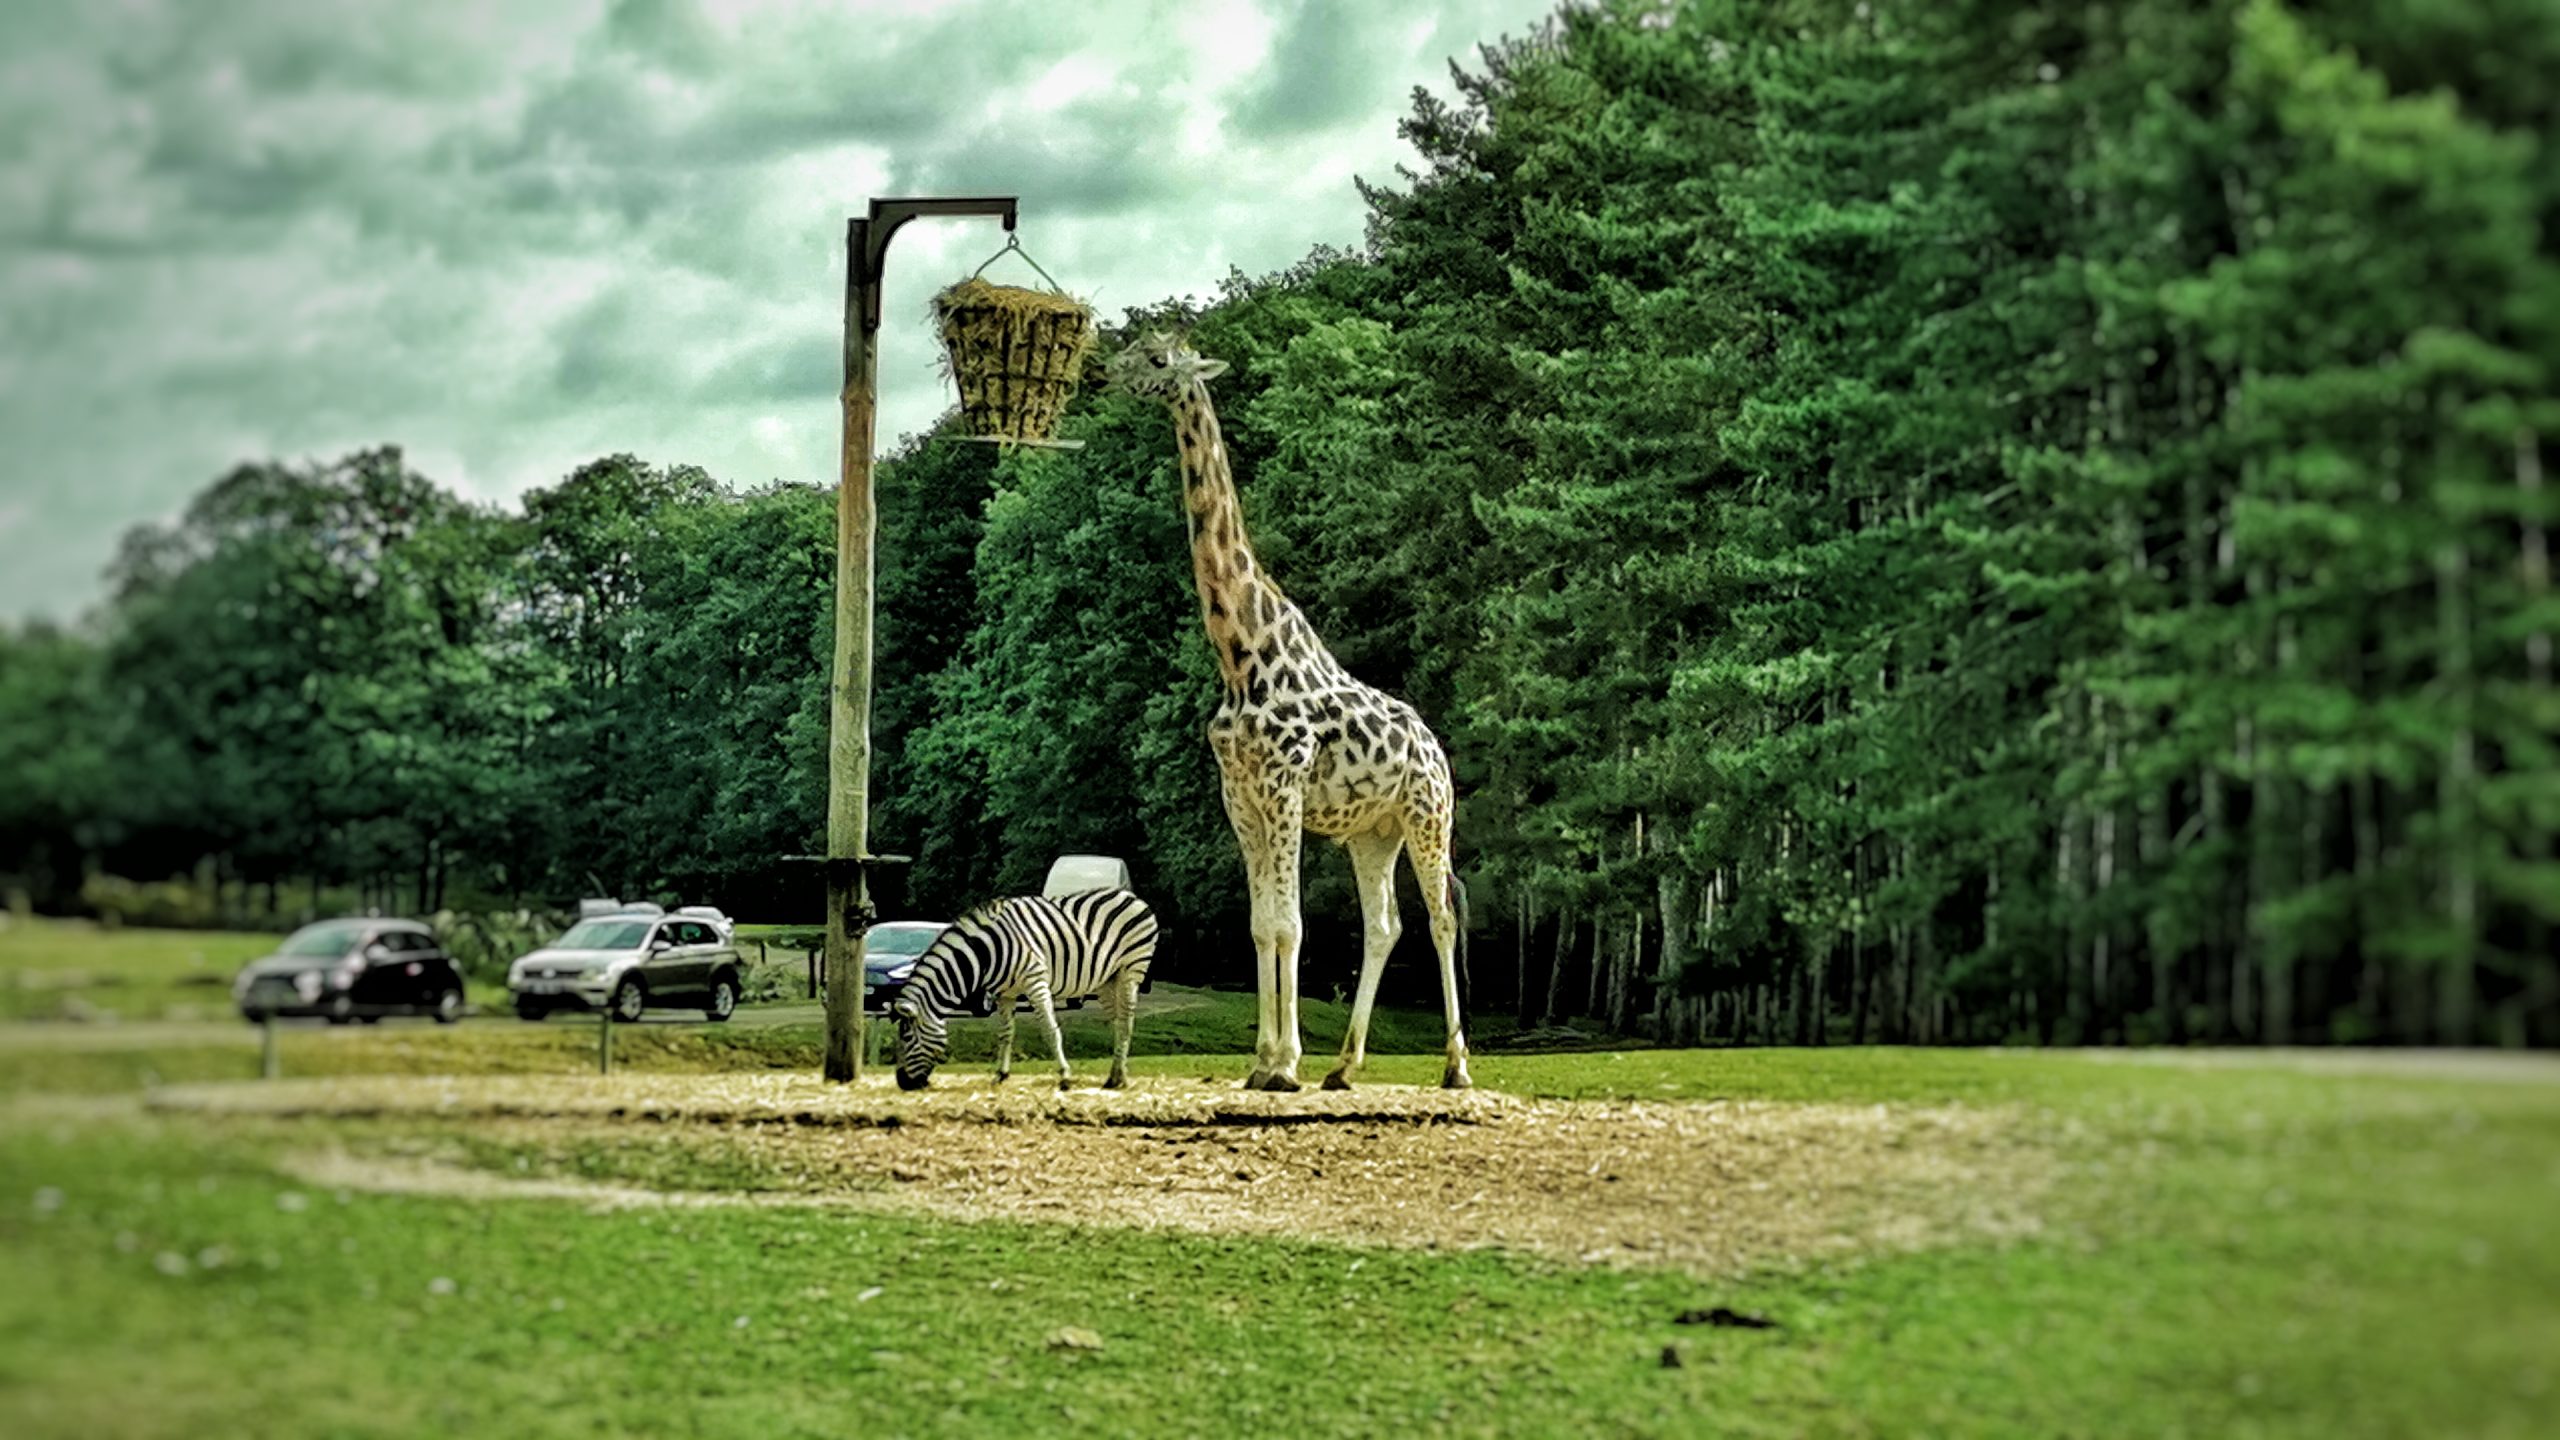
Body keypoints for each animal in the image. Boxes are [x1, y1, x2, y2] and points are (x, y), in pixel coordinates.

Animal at [1107, 332, 1472, 1091]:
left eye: (1156, 361)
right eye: (1135, 346)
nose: (1103, 373)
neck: (1240, 654)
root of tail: (1437, 749)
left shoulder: (1285, 788)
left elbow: (1291, 925)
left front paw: (1284, 1064)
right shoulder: (1240, 796)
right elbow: (1262, 923)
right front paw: (1264, 1061)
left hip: (1428, 814)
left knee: (1441, 918)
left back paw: (1456, 1066)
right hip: (1374, 832)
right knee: (1386, 925)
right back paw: (1344, 1066)